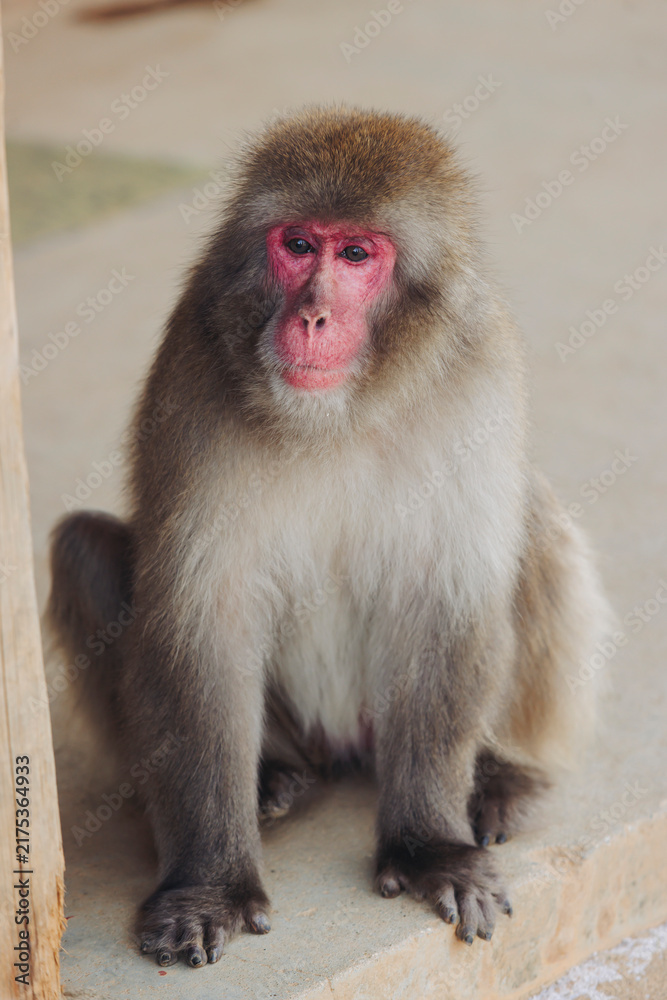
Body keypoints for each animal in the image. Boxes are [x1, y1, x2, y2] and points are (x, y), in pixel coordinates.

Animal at [48, 106, 609, 969]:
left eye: (355, 255)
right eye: (298, 245)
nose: (311, 315)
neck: (343, 410)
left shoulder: (478, 366)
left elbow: (445, 593)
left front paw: (428, 848)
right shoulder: (194, 364)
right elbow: (202, 616)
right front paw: (206, 883)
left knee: (530, 519)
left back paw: (500, 775)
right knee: (84, 549)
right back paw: (274, 777)